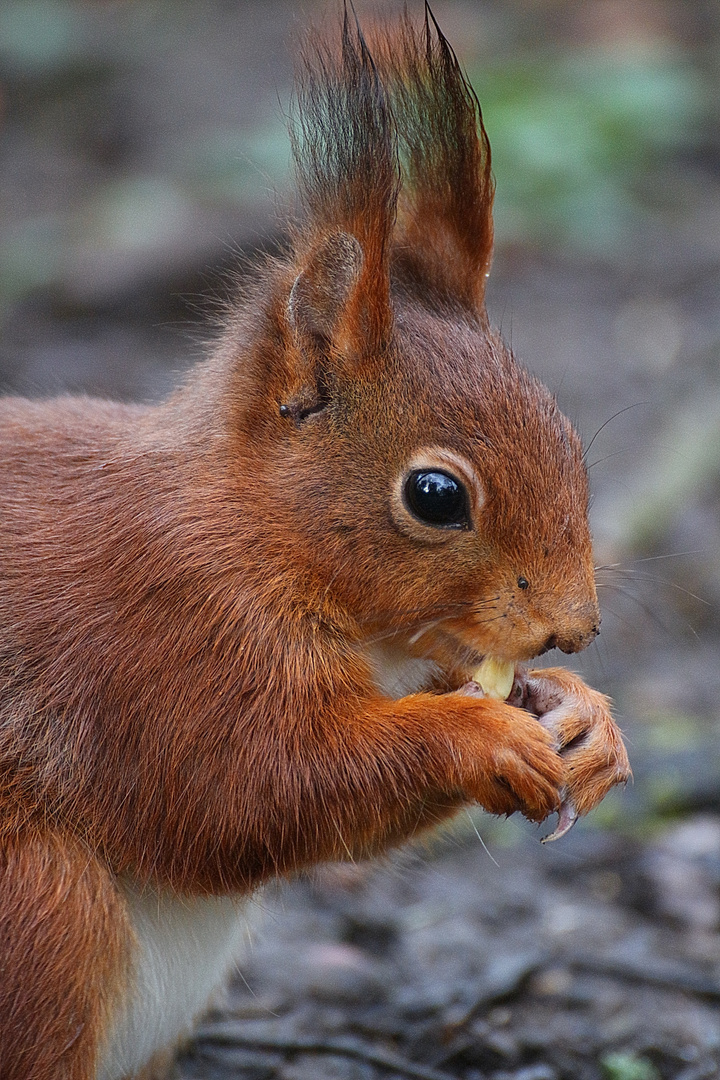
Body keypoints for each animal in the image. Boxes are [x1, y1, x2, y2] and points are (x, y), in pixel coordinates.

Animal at [0, 10, 630, 1080]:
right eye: (435, 496)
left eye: (564, 433)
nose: (572, 628)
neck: (256, 526)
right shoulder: (158, 634)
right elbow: (244, 791)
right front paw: (476, 734)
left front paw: (582, 715)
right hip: (38, 905)